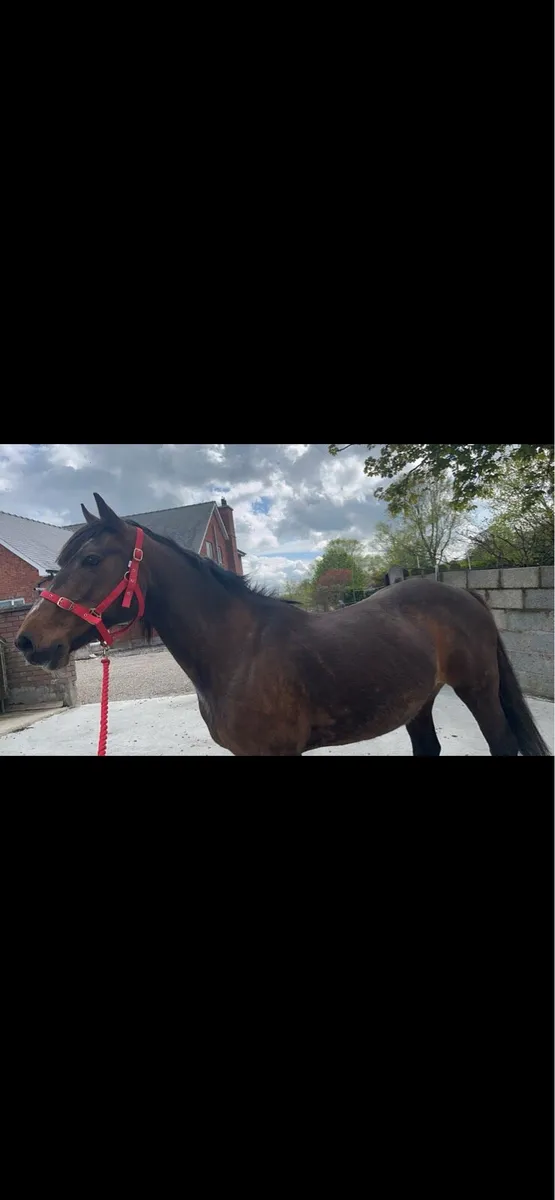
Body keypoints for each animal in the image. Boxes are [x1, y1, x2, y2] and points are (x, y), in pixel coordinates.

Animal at [15, 493, 551, 756]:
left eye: (89, 559)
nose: (27, 640)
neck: (237, 653)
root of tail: (464, 595)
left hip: (478, 691)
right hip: (417, 700)